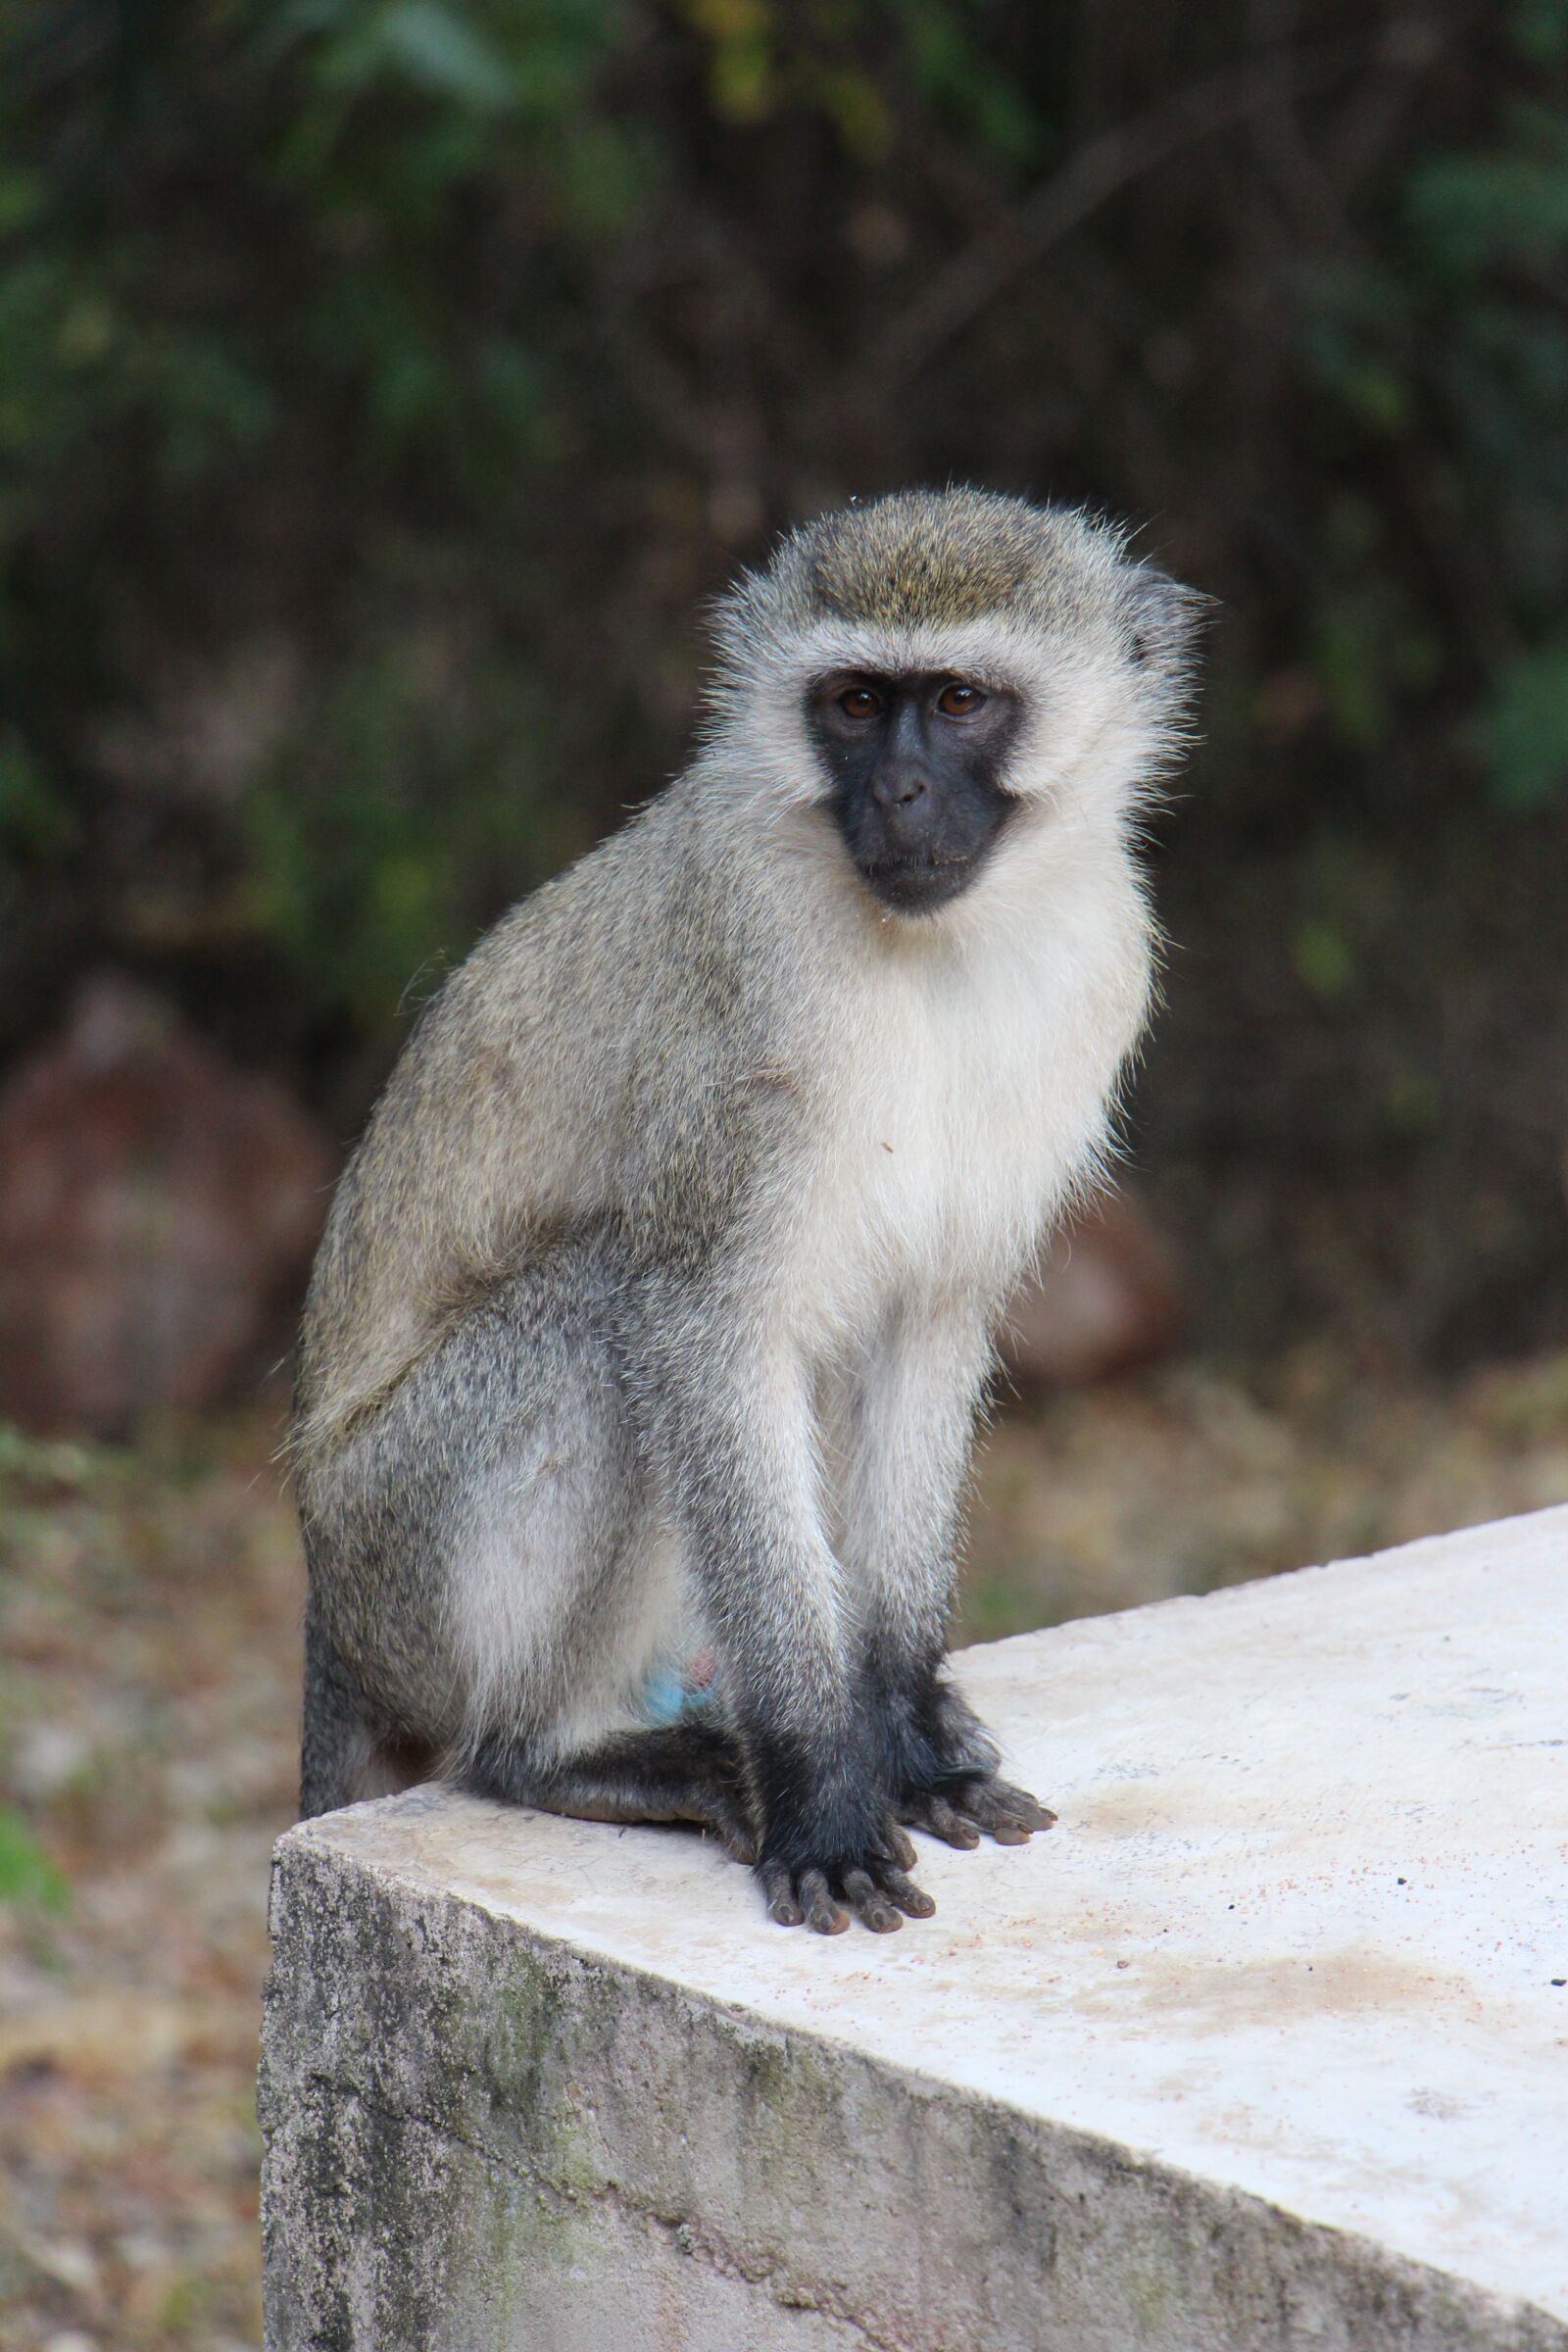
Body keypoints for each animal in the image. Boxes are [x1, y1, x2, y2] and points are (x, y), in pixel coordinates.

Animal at [291, 486, 1202, 1934]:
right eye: (853, 703)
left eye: (958, 701)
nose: (897, 790)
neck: (937, 947)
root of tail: (330, 1606)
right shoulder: (748, 1008)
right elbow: (699, 1329)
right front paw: (824, 1784)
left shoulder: (1100, 968)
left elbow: (927, 1322)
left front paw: (903, 1731)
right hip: (402, 1554)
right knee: (597, 1317)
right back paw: (558, 1755)